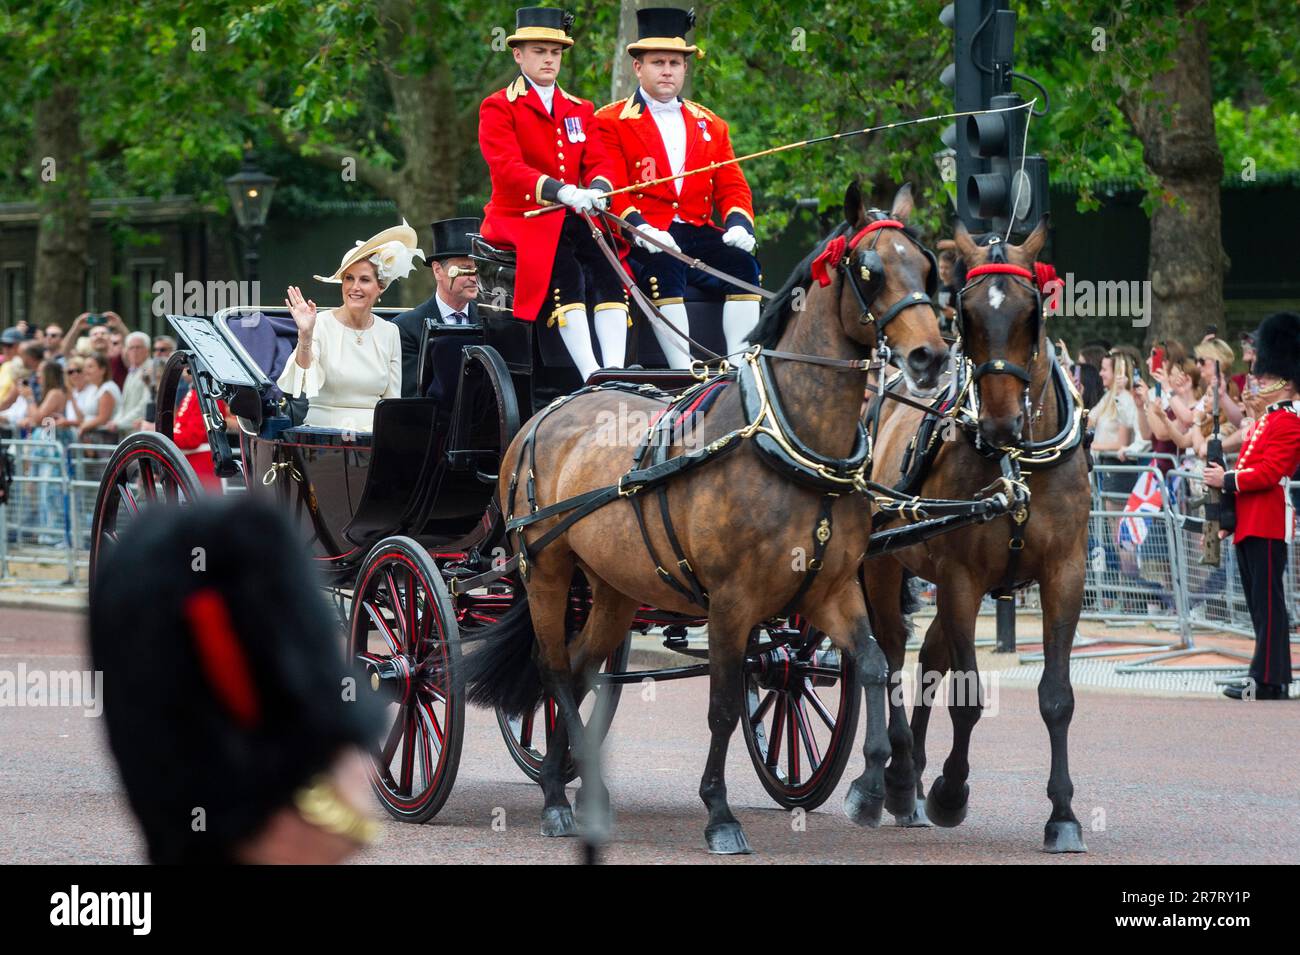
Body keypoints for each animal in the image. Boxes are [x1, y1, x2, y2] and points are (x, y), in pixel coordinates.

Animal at [465, 183, 946, 857]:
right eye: (870, 270)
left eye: (927, 268)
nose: (930, 356)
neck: (790, 440)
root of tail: (549, 410)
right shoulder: (732, 602)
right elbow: (721, 706)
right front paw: (719, 813)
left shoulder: (828, 589)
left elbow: (875, 665)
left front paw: (872, 788)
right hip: (546, 571)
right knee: (553, 670)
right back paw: (561, 800)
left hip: (613, 586)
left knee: (582, 669)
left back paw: (573, 787)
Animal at [868, 218, 1092, 852]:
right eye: (965, 313)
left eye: (1029, 311)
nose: (998, 424)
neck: (1017, 461)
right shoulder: (961, 578)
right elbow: (966, 697)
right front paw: (950, 792)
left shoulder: (1064, 573)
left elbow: (1056, 697)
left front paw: (1062, 814)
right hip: (882, 567)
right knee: (890, 656)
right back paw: (895, 781)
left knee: (928, 660)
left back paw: (913, 779)